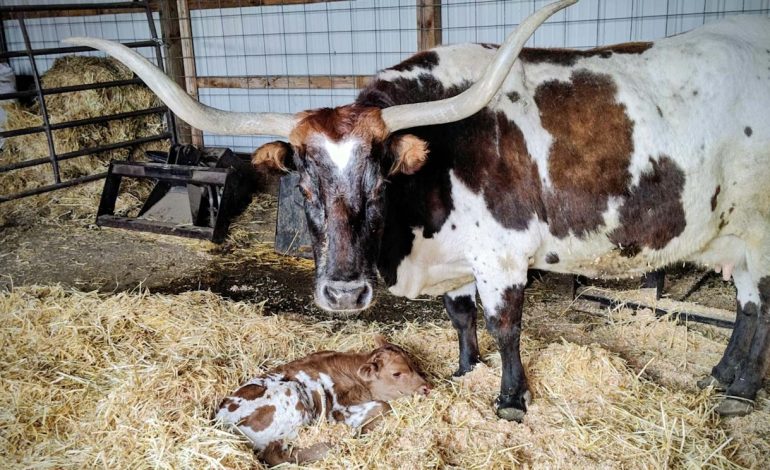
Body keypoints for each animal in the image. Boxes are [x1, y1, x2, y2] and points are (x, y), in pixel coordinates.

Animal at [66, 0, 770, 421]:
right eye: (306, 186)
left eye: (381, 181)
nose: (345, 295)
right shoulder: (454, 264)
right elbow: (462, 321)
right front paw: (464, 372)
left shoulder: (501, 259)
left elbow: (505, 328)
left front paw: (509, 401)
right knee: (747, 308)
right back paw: (724, 378)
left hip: (760, 229)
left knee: (758, 308)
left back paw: (737, 391)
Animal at [215, 335, 430, 465]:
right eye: (396, 373)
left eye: (413, 363)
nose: (426, 387)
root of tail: (222, 420)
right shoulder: (339, 410)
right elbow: (384, 405)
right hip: (291, 398)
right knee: (280, 455)